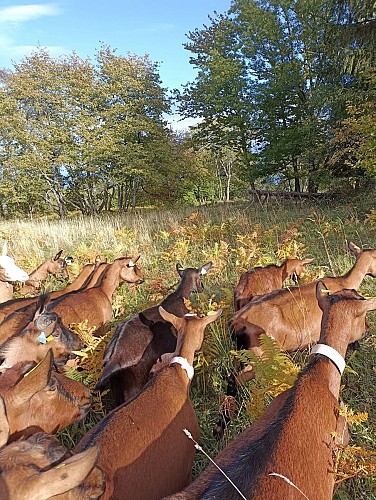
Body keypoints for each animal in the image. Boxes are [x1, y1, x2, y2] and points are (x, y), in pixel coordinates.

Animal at [97, 262, 213, 406]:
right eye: (200, 276)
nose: (202, 287)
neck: (181, 297)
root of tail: (112, 359)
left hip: (117, 389)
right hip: (134, 384)